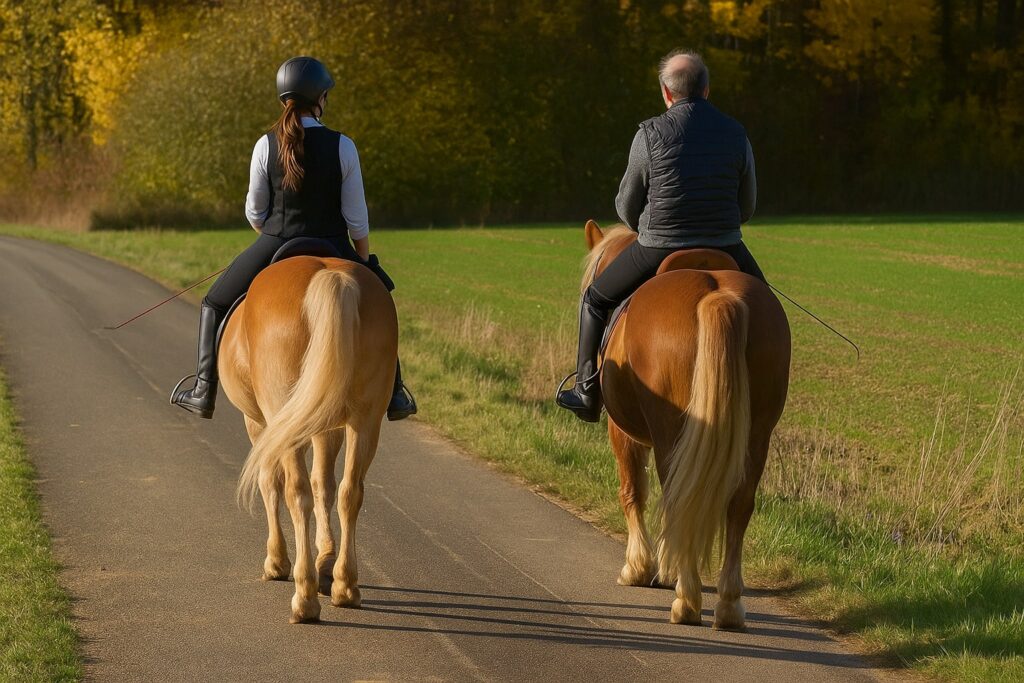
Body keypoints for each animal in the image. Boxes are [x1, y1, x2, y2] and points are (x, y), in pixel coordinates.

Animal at [218, 254, 397, 623]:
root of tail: (332, 277)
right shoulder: (326, 425)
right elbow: (324, 485)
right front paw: (325, 562)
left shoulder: (261, 424)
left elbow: (270, 482)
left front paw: (277, 562)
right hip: (366, 419)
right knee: (349, 491)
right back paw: (345, 586)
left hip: (282, 412)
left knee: (295, 492)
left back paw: (304, 598)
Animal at [580, 220, 791, 630]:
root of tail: (717, 295)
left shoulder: (622, 433)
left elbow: (633, 491)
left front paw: (640, 568)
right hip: (757, 435)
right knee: (739, 504)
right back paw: (728, 605)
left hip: (670, 431)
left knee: (678, 498)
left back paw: (687, 599)